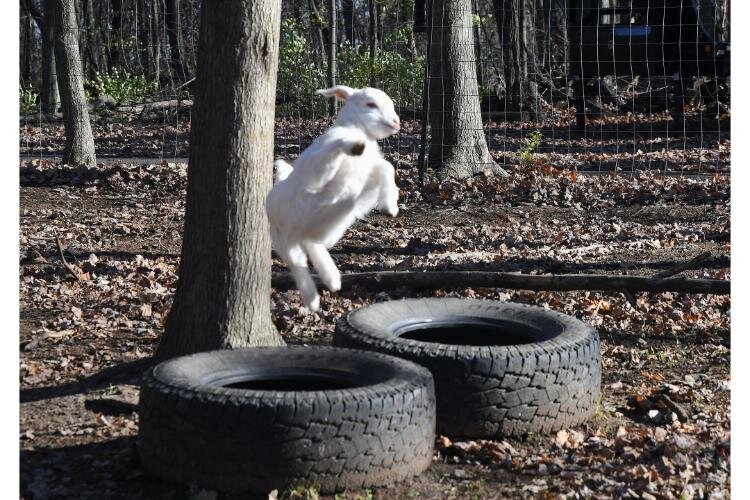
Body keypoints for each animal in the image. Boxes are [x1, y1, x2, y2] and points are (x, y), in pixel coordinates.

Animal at [268, 86, 402, 312]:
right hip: (282, 238)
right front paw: (353, 146)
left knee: (312, 245)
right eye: (370, 104)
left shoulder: (363, 185)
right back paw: (312, 298)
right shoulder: (315, 176)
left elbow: (386, 167)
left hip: (322, 230)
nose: (396, 123)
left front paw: (389, 206)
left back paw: (331, 280)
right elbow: (335, 151)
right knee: (297, 263)